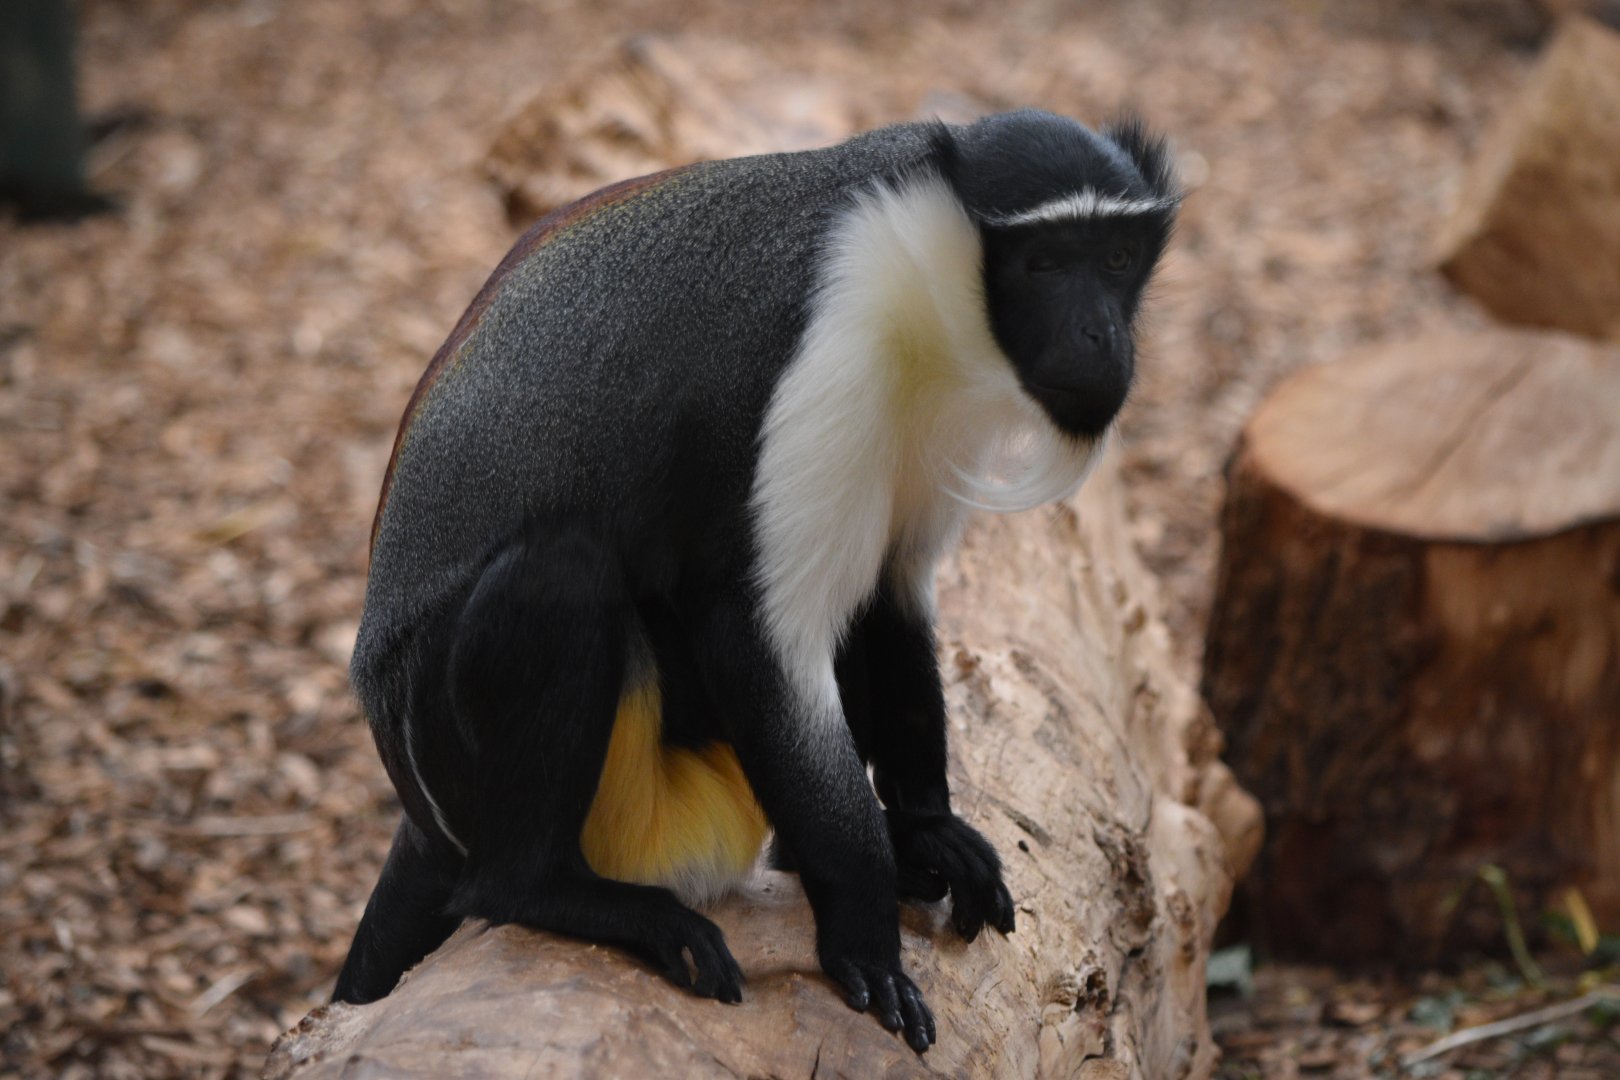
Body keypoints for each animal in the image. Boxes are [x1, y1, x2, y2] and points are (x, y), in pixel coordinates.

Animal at [331, 108, 1179, 1053]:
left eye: (1117, 258)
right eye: (1045, 263)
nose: (1105, 338)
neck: (918, 266)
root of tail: (419, 812)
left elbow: (888, 601)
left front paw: (928, 832)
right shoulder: (820, 356)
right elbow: (758, 637)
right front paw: (865, 939)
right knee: (559, 572)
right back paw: (554, 891)